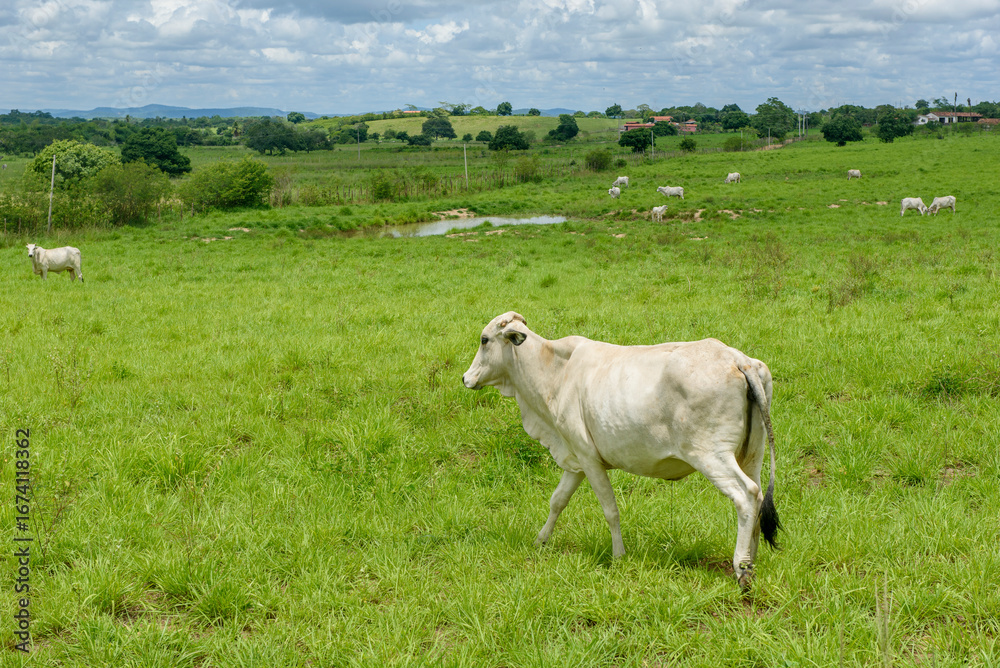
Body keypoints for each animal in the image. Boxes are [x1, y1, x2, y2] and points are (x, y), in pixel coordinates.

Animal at [462, 312, 781, 589]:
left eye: (484, 340)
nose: (466, 378)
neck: (554, 372)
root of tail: (738, 359)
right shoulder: (575, 460)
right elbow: (557, 501)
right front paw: (540, 541)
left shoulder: (589, 458)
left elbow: (610, 509)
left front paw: (618, 555)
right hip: (752, 454)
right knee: (758, 498)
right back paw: (751, 560)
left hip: (711, 455)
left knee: (747, 494)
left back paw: (741, 568)